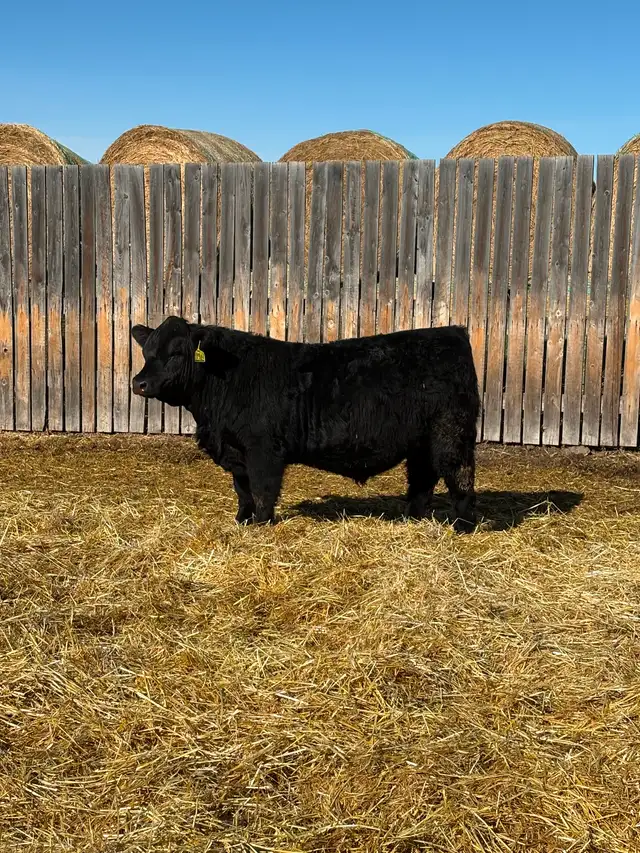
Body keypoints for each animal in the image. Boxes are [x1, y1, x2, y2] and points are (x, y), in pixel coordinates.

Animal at [131, 317, 480, 532]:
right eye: (147, 352)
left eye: (176, 353)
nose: (139, 383)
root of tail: (454, 332)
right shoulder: (236, 450)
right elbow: (243, 491)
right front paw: (241, 521)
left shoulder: (264, 450)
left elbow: (262, 490)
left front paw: (261, 525)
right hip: (422, 442)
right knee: (422, 481)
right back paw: (412, 519)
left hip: (453, 434)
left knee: (460, 478)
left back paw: (462, 527)